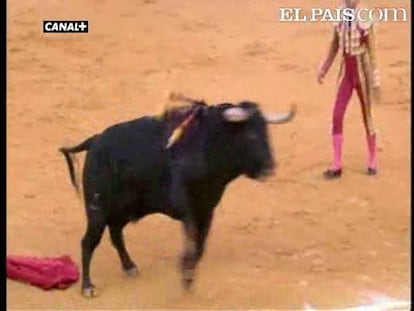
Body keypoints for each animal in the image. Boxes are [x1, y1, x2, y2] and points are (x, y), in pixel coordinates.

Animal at [59, 95, 296, 300]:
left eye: (267, 132)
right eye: (251, 135)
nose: (269, 168)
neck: (208, 146)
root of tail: (95, 141)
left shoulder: (206, 210)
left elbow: (200, 248)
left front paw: (187, 277)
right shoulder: (188, 209)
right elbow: (192, 245)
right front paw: (184, 269)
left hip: (123, 209)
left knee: (116, 234)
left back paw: (130, 267)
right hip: (97, 210)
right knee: (88, 242)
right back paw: (88, 286)